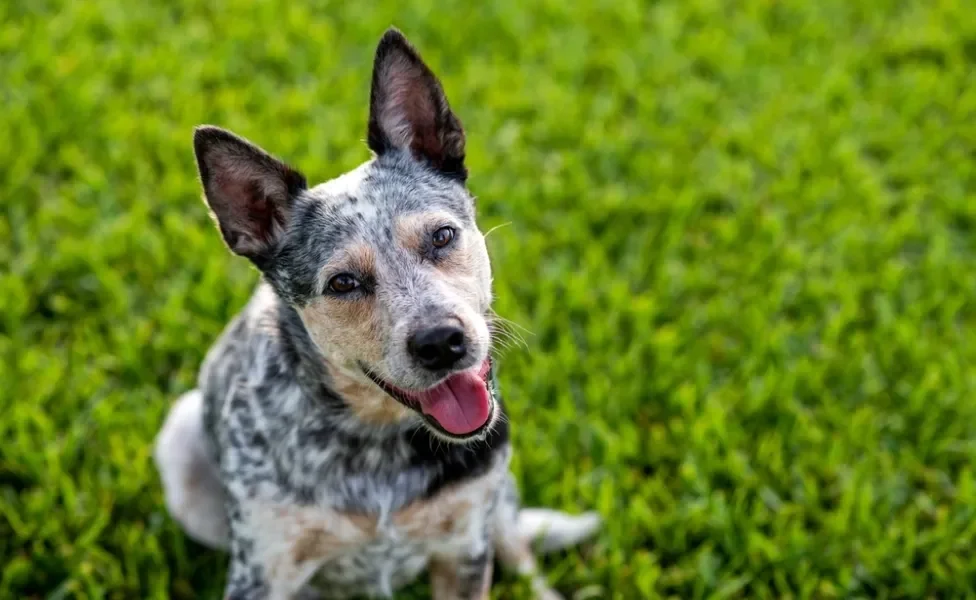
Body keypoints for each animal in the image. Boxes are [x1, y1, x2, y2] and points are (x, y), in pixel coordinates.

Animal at [152, 28, 600, 600]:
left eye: (442, 236)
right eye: (343, 283)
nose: (441, 341)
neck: (379, 446)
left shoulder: (465, 549)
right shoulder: (262, 572)